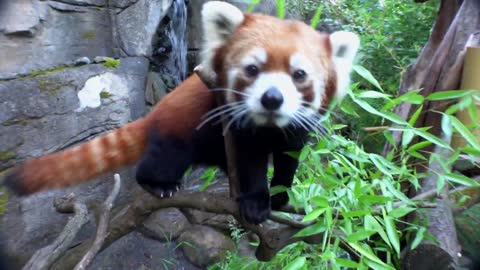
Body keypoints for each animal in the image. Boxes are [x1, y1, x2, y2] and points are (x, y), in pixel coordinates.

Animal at [2, 1, 356, 225]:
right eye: (252, 69)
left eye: (300, 75)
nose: (272, 98)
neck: (268, 124)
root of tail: (154, 113)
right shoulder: (235, 120)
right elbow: (251, 159)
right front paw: (257, 201)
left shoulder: (296, 126)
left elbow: (288, 155)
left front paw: (281, 193)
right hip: (178, 134)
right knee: (161, 161)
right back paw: (158, 185)